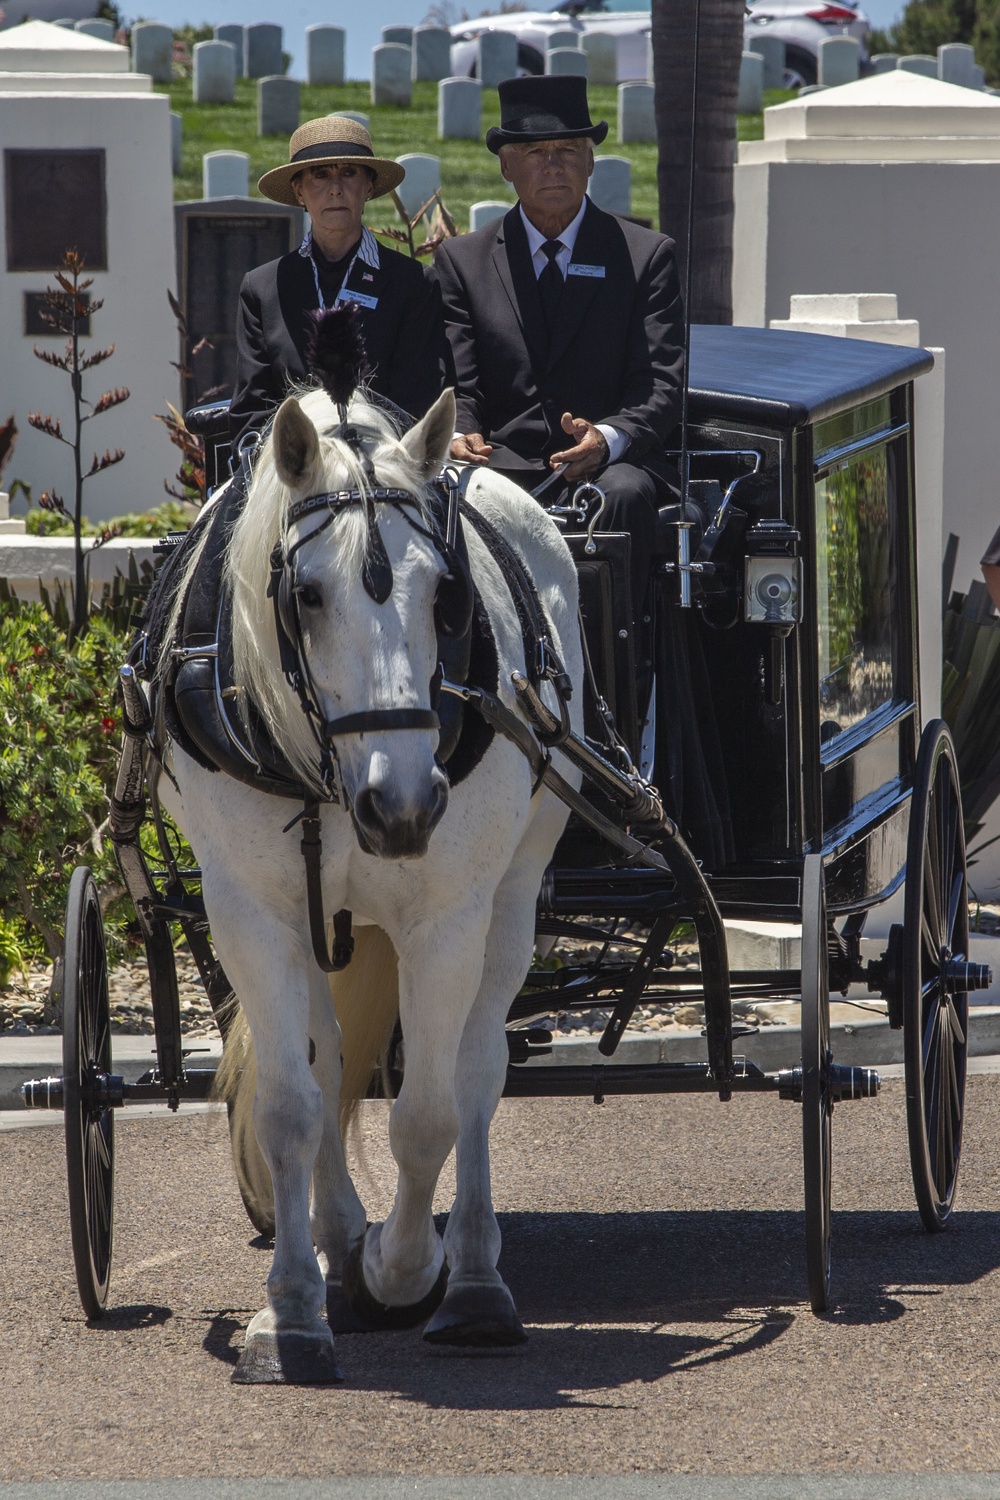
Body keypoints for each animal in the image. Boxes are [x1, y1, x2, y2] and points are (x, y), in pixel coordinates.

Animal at [159, 378, 581, 1380]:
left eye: (446, 598)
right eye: (307, 594)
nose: (403, 807)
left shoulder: (446, 918)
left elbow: (428, 1112)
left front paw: (403, 1268)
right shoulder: (252, 916)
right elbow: (289, 1109)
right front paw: (293, 1312)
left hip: (511, 894)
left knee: (477, 1071)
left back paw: (471, 1277)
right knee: (328, 1062)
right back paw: (337, 1237)